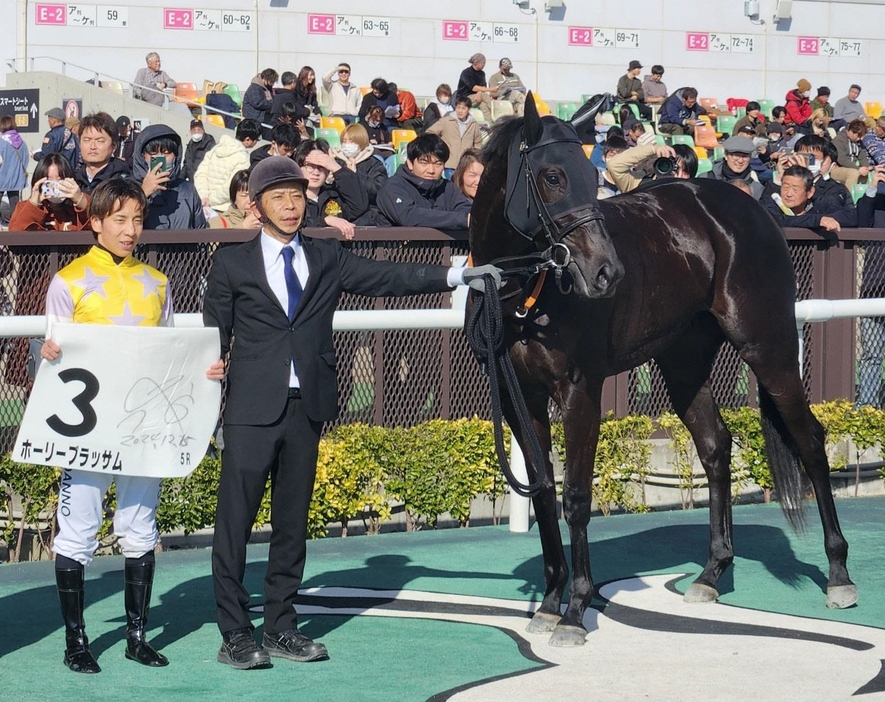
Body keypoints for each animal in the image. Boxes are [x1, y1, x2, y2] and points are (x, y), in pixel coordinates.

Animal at [470, 95, 856, 648]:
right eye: (552, 176)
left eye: (588, 177)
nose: (606, 273)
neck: (524, 294)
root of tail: (746, 206)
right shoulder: (519, 394)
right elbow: (542, 490)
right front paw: (547, 604)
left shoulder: (579, 391)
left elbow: (576, 496)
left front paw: (574, 612)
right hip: (683, 360)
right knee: (715, 444)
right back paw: (711, 574)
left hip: (769, 347)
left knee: (809, 440)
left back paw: (839, 574)